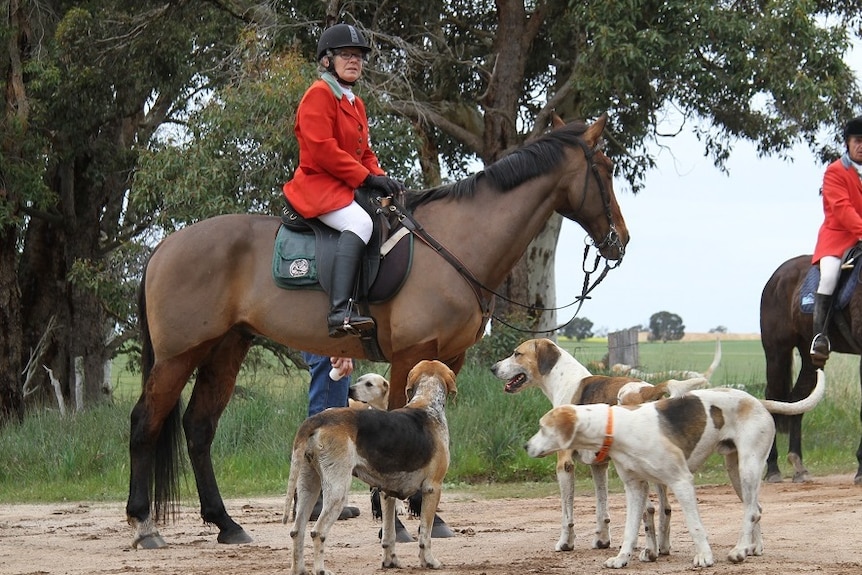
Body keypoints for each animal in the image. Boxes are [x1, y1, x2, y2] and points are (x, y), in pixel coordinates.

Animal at [125, 112, 632, 548]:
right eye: (606, 169)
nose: (621, 241)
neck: (457, 245)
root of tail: (164, 246)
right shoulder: (409, 355)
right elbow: (397, 422)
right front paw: (397, 519)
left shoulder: (449, 358)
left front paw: (426, 513)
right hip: (179, 356)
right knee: (145, 423)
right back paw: (144, 523)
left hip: (226, 349)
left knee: (199, 427)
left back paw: (225, 524)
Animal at [768, 254, 860, 484]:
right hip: (777, 352)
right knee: (771, 398)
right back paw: (772, 468)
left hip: (810, 359)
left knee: (798, 399)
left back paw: (797, 464)